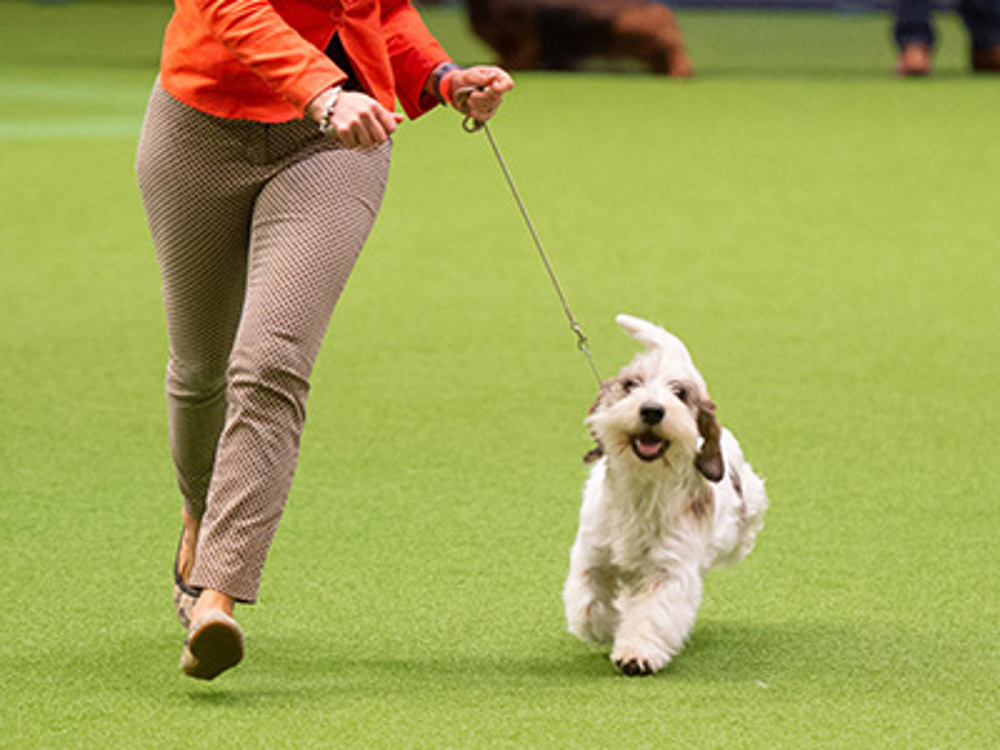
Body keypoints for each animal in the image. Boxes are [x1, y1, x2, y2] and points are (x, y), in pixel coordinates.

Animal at [564, 314, 764, 680]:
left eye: (680, 393)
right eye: (630, 385)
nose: (652, 410)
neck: (643, 489)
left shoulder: (670, 570)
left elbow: (652, 615)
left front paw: (636, 653)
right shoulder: (592, 556)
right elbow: (588, 607)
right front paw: (609, 626)